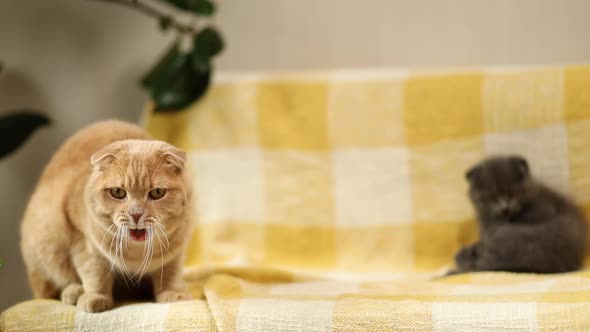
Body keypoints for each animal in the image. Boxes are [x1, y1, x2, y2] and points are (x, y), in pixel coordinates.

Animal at [19, 119, 192, 312]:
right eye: (118, 192)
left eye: (157, 193)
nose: (136, 214)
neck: (136, 254)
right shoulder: (84, 243)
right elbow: (95, 274)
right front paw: (95, 297)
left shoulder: (175, 254)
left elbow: (169, 274)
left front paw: (174, 293)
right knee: (53, 287)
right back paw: (74, 292)